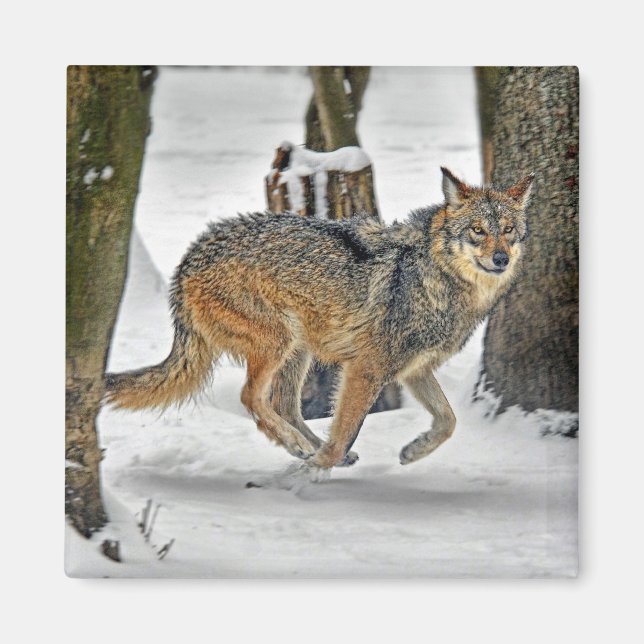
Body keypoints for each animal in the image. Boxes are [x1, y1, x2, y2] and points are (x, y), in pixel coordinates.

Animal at [105, 167, 534, 469]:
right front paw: (314, 477)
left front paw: (413, 451)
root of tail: (190, 256)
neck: (436, 279)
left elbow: (448, 422)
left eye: (508, 230)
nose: (501, 259)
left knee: (284, 406)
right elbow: (345, 430)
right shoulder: (366, 369)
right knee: (252, 398)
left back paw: (309, 449)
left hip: (297, 351)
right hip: (278, 343)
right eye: (477, 231)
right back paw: (300, 449)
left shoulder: (414, 370)